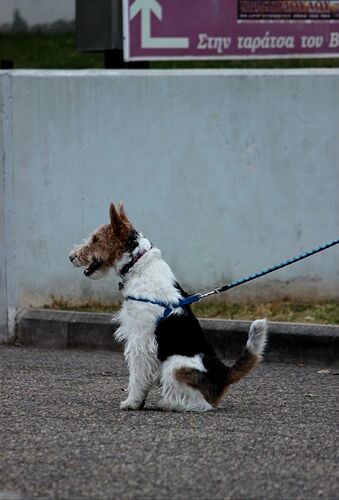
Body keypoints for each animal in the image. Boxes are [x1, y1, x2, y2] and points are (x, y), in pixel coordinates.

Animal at [69, 201, 268, 412]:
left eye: (96, 239)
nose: (71, 257)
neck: (138, 264)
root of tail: (223, 374)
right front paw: (138, 401)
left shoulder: (140, 339)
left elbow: (136, 375)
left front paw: (131, 402)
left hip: (175, 365)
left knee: (201, 404)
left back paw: (169, 403)